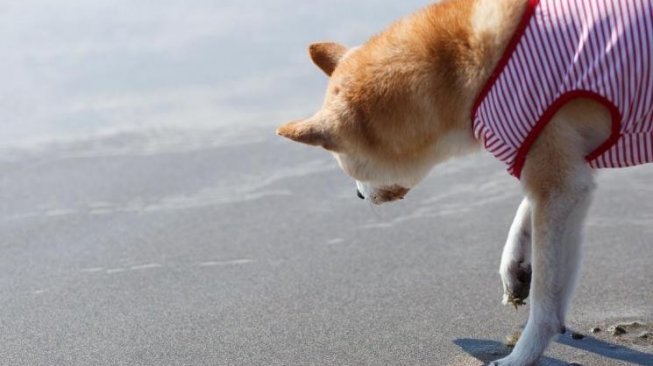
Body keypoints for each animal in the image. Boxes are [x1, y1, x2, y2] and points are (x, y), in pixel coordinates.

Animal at [276, 1, 652, 364]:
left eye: (349, 166)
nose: (356, 195)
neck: (468, 68)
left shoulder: (559, 182)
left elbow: (547, 298)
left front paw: (522, 356)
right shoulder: (562, 165)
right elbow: (527, 211)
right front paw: (514, 265)